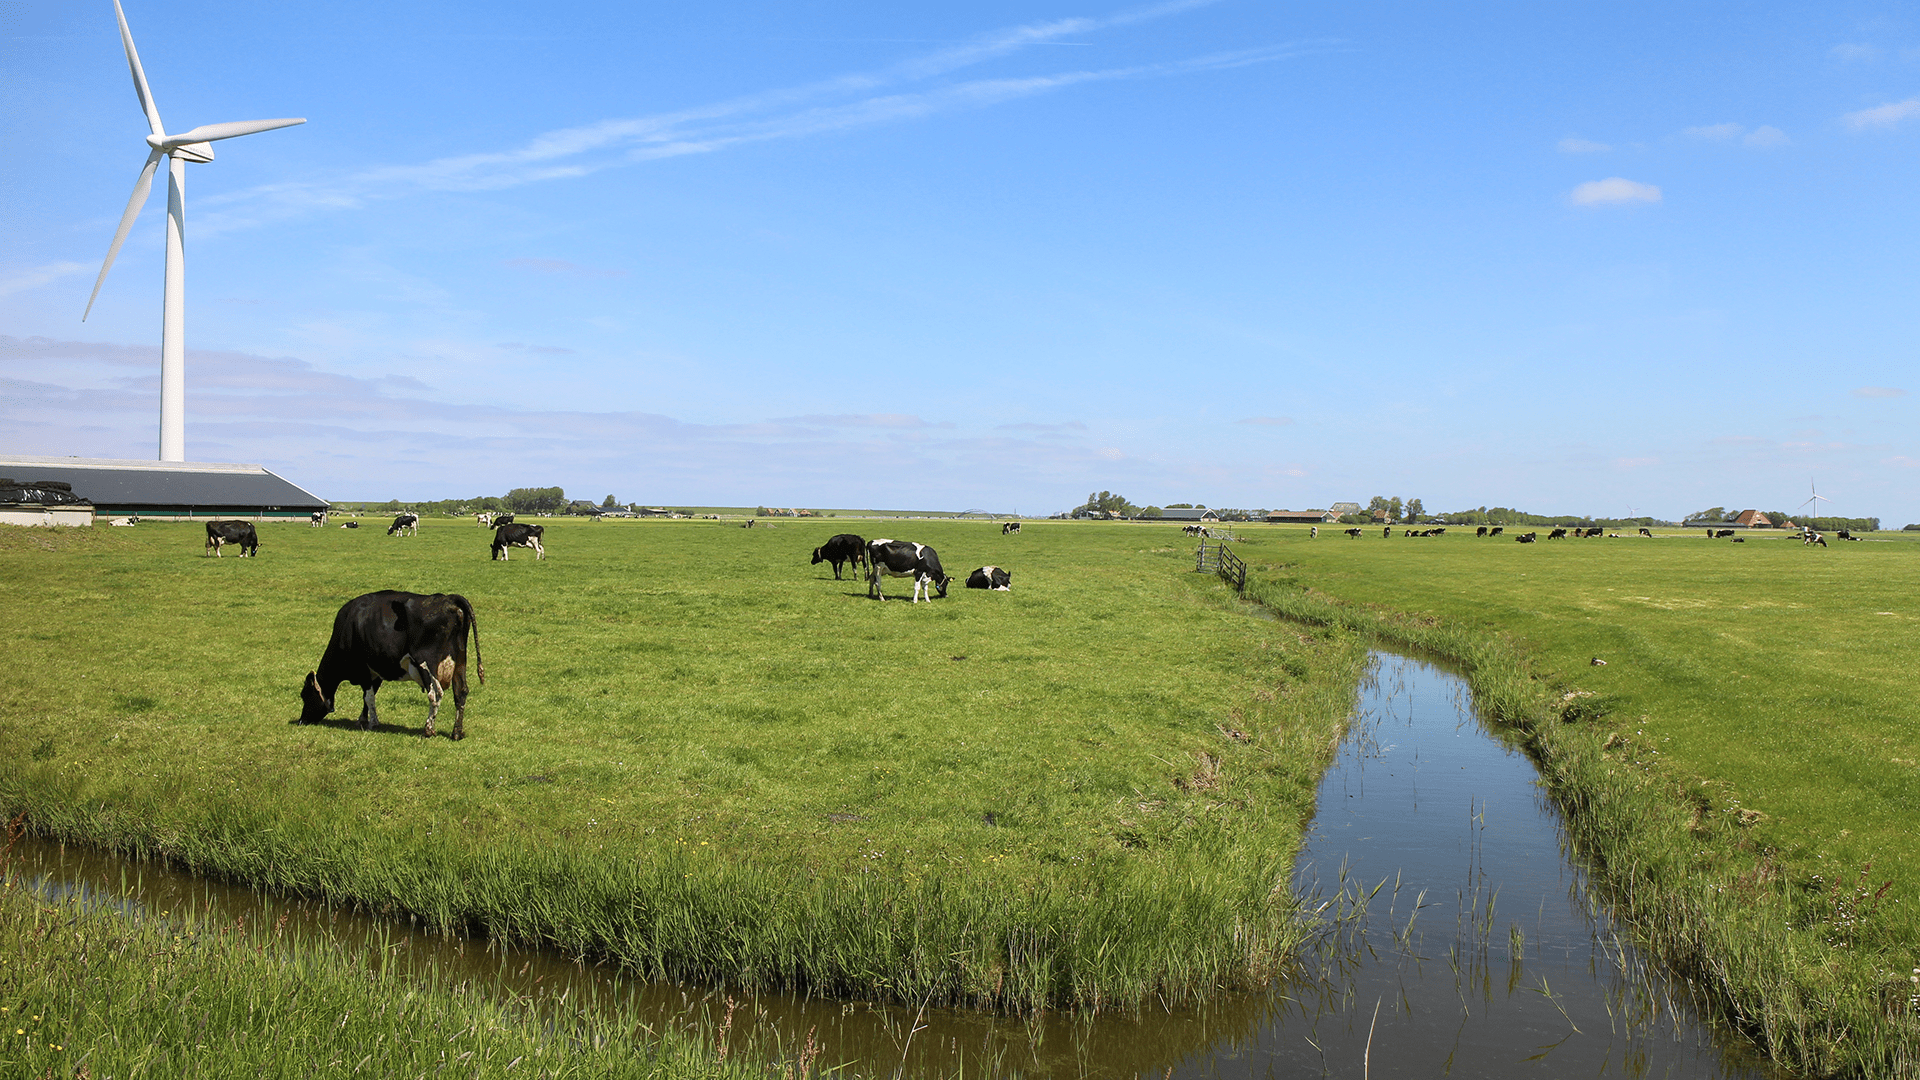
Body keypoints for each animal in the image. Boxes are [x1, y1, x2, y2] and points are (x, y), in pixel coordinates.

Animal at [298, 591, 483, 740]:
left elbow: (368, 696)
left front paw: (372, 723)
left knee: (435, 693)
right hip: (460, 660)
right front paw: (362, 719)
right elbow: (369, 696)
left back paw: (429, 729)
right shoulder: (377, 670)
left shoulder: (364, 668)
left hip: (426, 662)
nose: (301, 721)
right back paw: (456, 733)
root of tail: (448, 599)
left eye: (305, 695)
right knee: (461, 692)